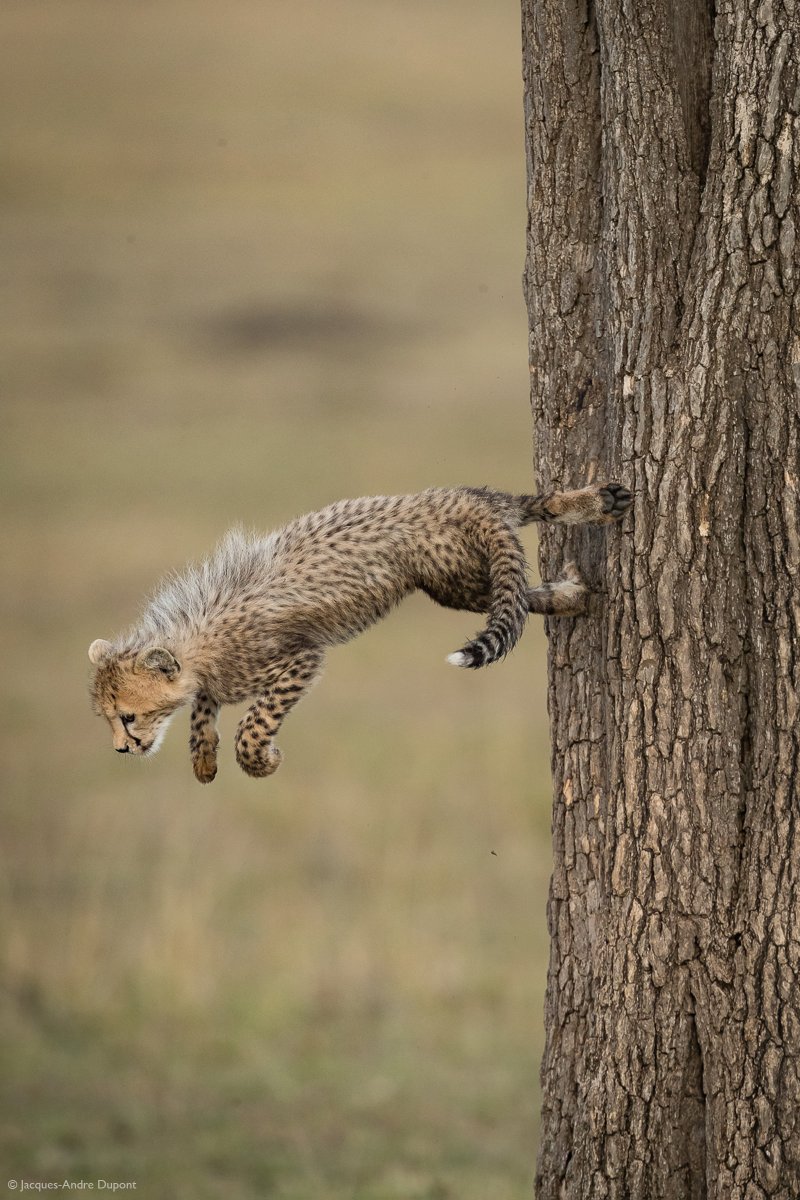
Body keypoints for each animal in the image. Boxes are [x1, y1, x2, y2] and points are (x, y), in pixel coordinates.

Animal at [88, 482, 631, 783]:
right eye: (107, 719)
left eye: (129, 717)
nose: (121, 749)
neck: (195, 641)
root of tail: (452, 507)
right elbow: (204, 709)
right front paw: (203, 759)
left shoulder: (300, 659)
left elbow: (252, 725)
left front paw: (262, 759)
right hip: (472, 548)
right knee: (533, 507)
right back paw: (596, 509)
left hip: (458, 578)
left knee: (522, 585)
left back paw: (572, 588)